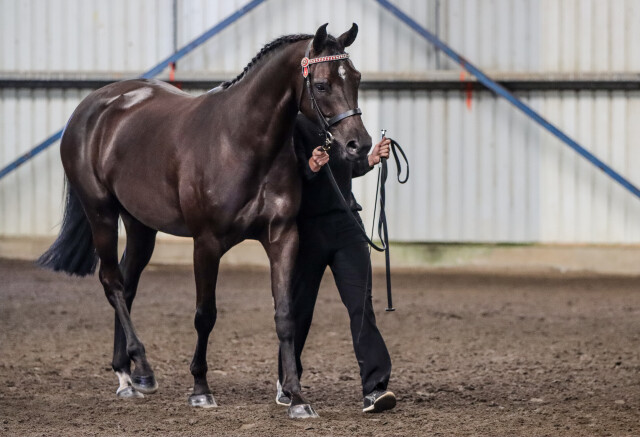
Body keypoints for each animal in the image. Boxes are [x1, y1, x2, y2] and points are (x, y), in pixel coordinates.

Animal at [37, 23, 371, 419]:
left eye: (356, 77)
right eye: (321, 85)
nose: (360, 145)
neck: (241, 141)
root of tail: (91, 106)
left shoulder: (282, 237)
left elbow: (287, 314)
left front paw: (297, 397)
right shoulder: (206, 243)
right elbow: (205, 314)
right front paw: (200, 389)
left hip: (140, 224)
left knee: (127, 284)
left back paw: (127, 375)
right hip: (100, 212)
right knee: (112, 283)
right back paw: (142, 369)